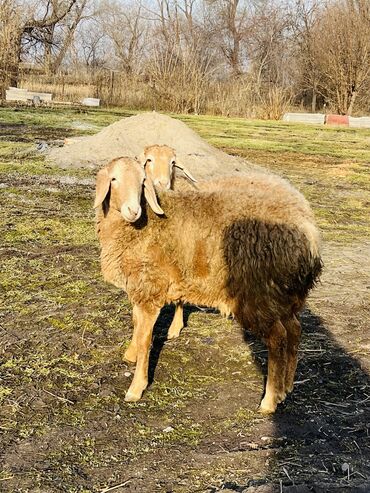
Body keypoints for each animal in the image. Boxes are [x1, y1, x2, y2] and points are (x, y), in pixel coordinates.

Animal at [94, 157, 322, 412]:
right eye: (114, 179)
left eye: (143, 181)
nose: (133, 210)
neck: (144, 224)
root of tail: (309, 233)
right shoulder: (140, 288)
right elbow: (136, 325)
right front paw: (130, 355)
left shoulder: (149, 288)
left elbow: (145, 339)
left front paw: (136, 388)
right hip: (283, 295)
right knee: (294, 329)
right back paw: (287, 387)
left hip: (260, 295)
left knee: (278, 338)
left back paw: (270, 400)